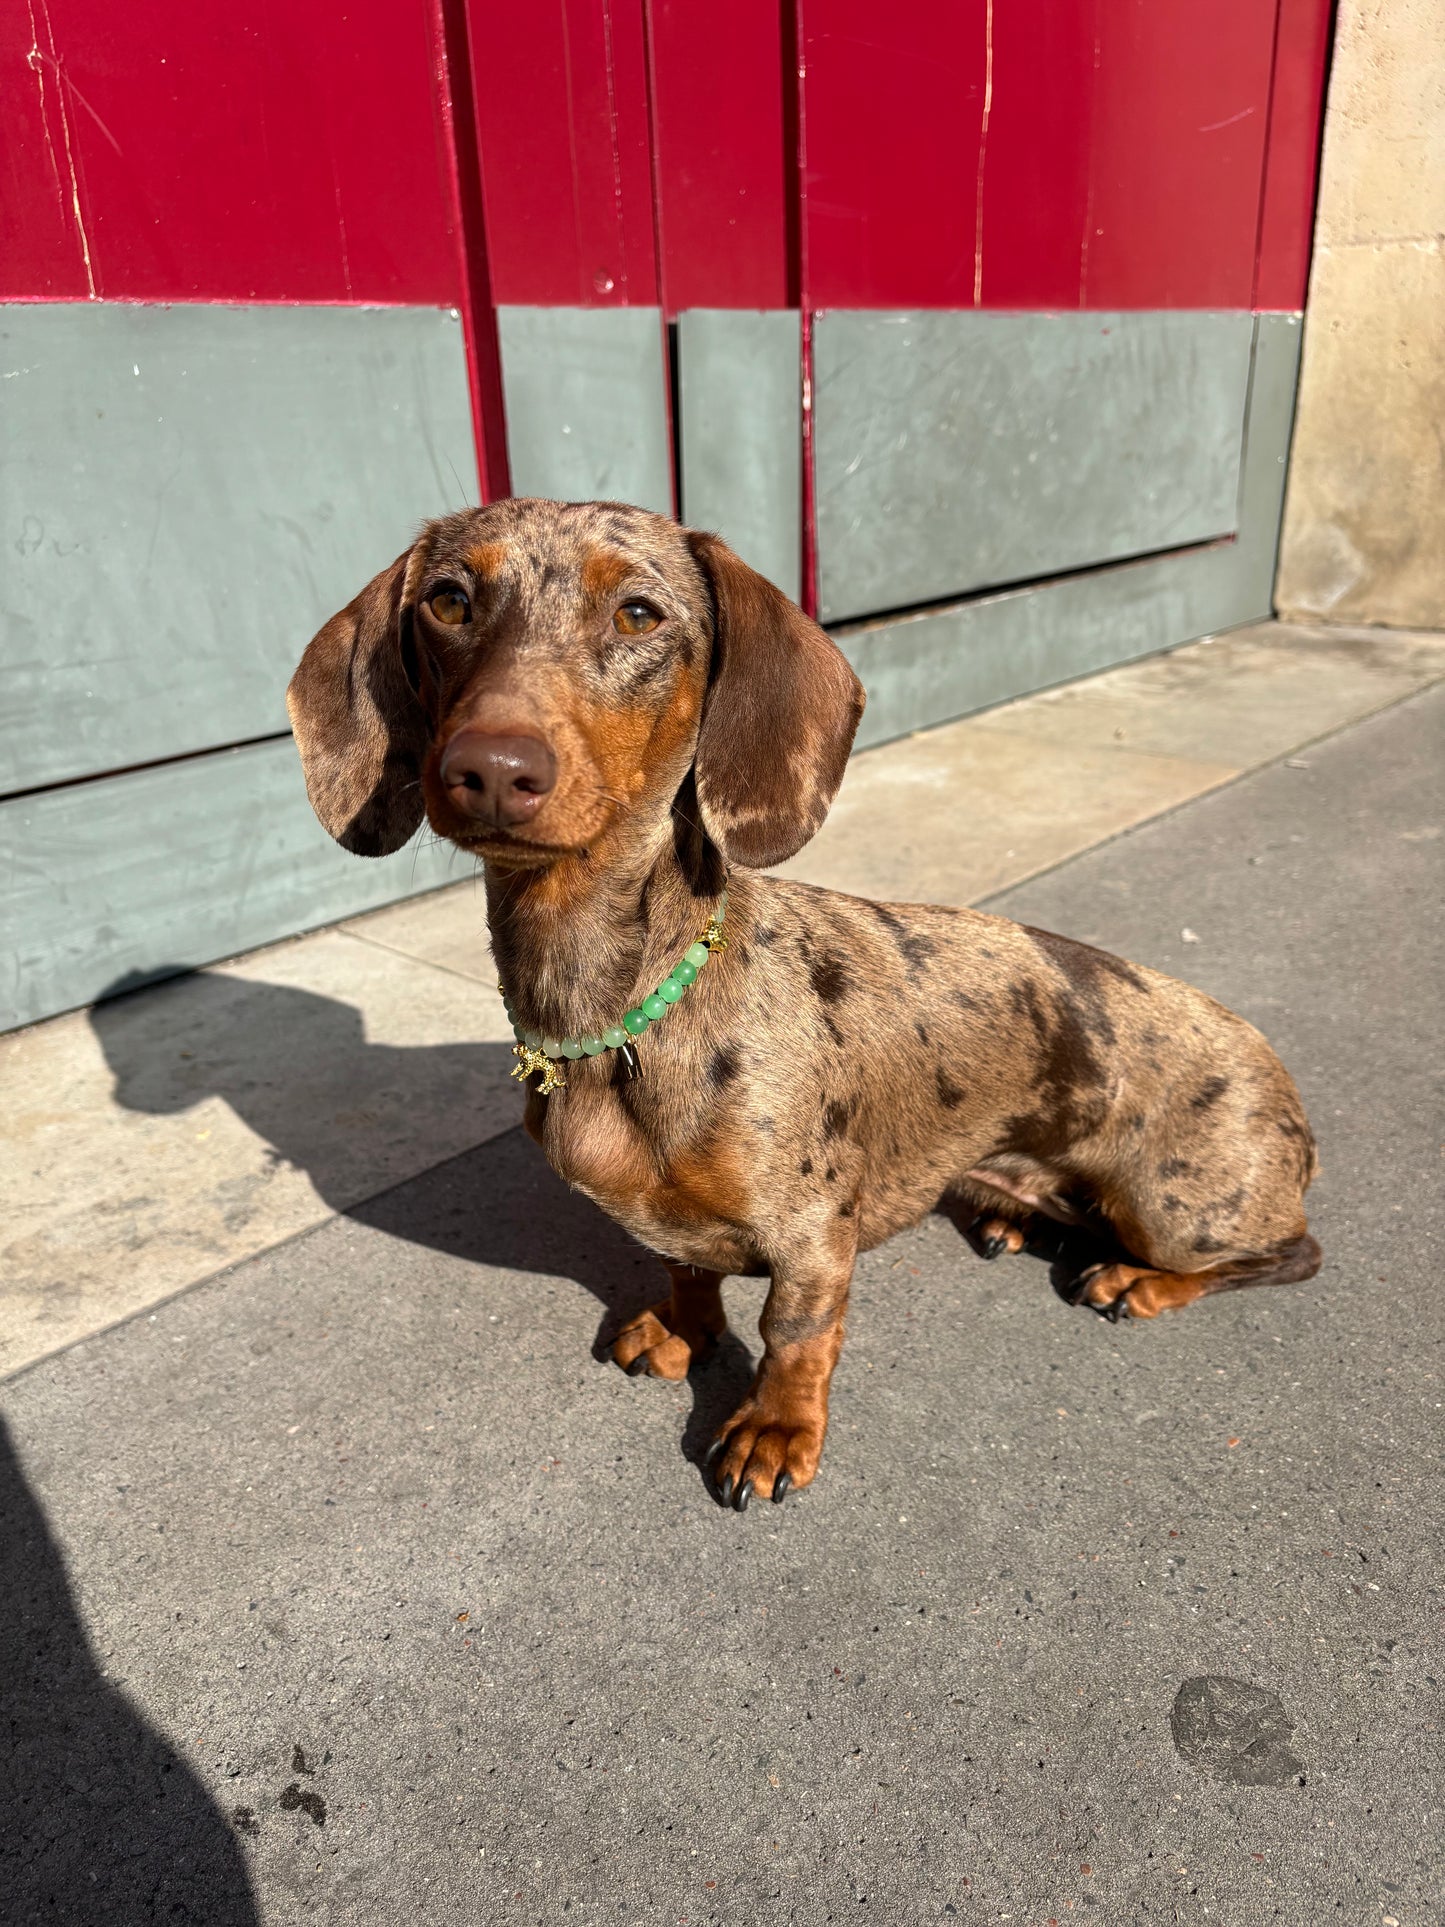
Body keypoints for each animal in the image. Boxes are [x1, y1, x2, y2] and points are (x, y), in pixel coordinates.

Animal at [290, 497, 1325, 1503]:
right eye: (449, 601)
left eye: (638, 613)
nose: (491, 769)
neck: (624, 1014)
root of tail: (1285, 1087)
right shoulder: (679, 1222)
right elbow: (686, 1272)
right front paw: (683, 1331)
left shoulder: (813, 1237)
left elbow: (793, 1334)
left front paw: (774, 1428)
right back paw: (1011, 1212)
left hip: (1177, 1213)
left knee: (1287, 1256)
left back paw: (1134, 1282)